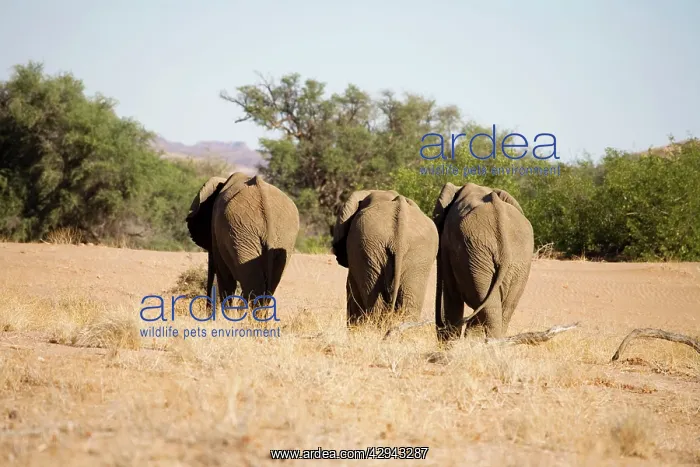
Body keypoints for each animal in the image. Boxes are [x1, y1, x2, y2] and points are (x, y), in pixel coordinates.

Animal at [186, 172, 300, 315]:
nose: (207, 312)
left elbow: (225, 277)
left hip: (242, 233)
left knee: (252, 284)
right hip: (280, 237)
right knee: (269, 286)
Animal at [433, 182, 534, 341]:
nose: (440, 327)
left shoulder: (448, 246)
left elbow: (452, 296)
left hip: (475, 256)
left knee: (488, 307)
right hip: (512, 261)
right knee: (498, 308)